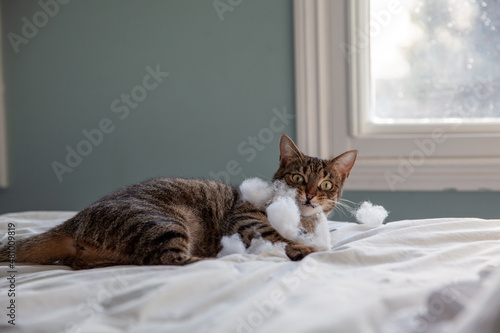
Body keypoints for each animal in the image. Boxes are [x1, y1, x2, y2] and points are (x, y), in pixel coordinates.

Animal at [0, 134, 356, 268]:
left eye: (326, 184)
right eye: (297, 178)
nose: (309, 194)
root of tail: (75, 219)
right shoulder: (247, 218)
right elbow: (279, 236)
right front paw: (305, 248)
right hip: (163, 223)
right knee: (171, 259)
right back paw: (225, 258)